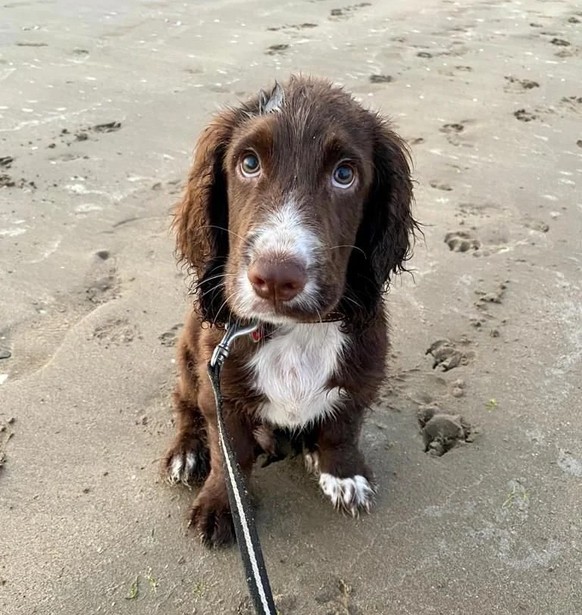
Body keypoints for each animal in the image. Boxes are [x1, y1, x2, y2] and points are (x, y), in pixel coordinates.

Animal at [164, 74, 418, 548]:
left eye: (344, 174)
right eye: (249, 163)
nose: (276, 278)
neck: (290, 333)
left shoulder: (364, 368)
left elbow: (344, 425)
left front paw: (343, 473)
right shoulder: (221, 391)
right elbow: (229, 455)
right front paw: (222, 503)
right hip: (190, 356)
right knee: (185, 404)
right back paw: (187, 451)